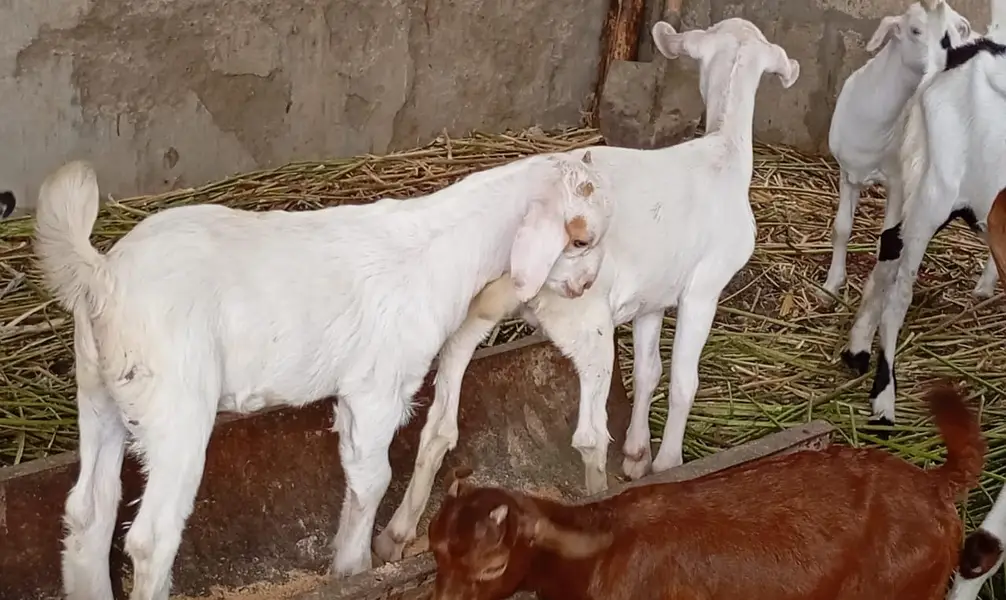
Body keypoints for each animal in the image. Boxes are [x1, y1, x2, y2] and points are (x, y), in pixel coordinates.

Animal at [33, 151, 610, 600]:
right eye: (582, 241)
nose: (585, 287)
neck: (443, 248)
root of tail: (101, 276)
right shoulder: (378, 388)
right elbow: (373, 478)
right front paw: (355, 570)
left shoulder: (358, 395)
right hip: (176, 405)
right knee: (151, 537)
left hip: (99, 392)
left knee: (88, 512)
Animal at [372, 16, 801, 562]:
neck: (724, 149)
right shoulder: (704, 286)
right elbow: (683, 381)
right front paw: (668, 464)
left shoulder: (652, 296)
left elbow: (648, 371)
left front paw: (638, 455)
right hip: (586, 319)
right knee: (590, 436)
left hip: (473, 315)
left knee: (438, 428)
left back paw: (394, 536)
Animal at [822, 1, 986, 304]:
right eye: (915, 30)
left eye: (959, 29)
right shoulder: (848, 173)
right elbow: (841, 229)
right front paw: (830, 287)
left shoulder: (898, 183)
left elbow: (885, 242)